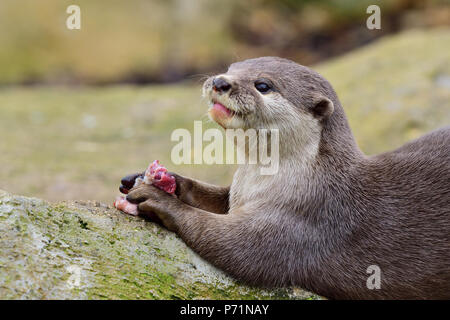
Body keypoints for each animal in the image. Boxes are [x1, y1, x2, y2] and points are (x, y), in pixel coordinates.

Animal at [120, 56, 450, 298]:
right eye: (231, 68)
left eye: (263, 85)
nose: (220, 81)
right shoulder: (238, 194)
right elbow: (213, 196)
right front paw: (160, 179)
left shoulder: (309, 217)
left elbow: (235, 247)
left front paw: (158, 198)